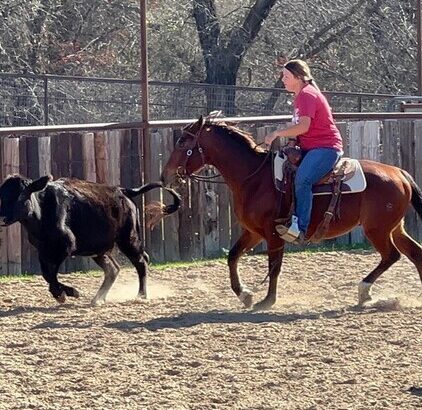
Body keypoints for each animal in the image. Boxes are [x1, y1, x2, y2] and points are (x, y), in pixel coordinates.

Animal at [159, 117, 422, 310]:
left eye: (182, 143)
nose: (165, 175)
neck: (254, 177)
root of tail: (400, 173)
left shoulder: (273, 233)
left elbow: (274, 266)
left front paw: (267, 301)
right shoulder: (253, 232)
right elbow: (233, 256)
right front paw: (245, 295)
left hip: (377, 230)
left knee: (392, 256)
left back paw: (364, 291)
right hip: (394, 228)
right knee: (414, 253)